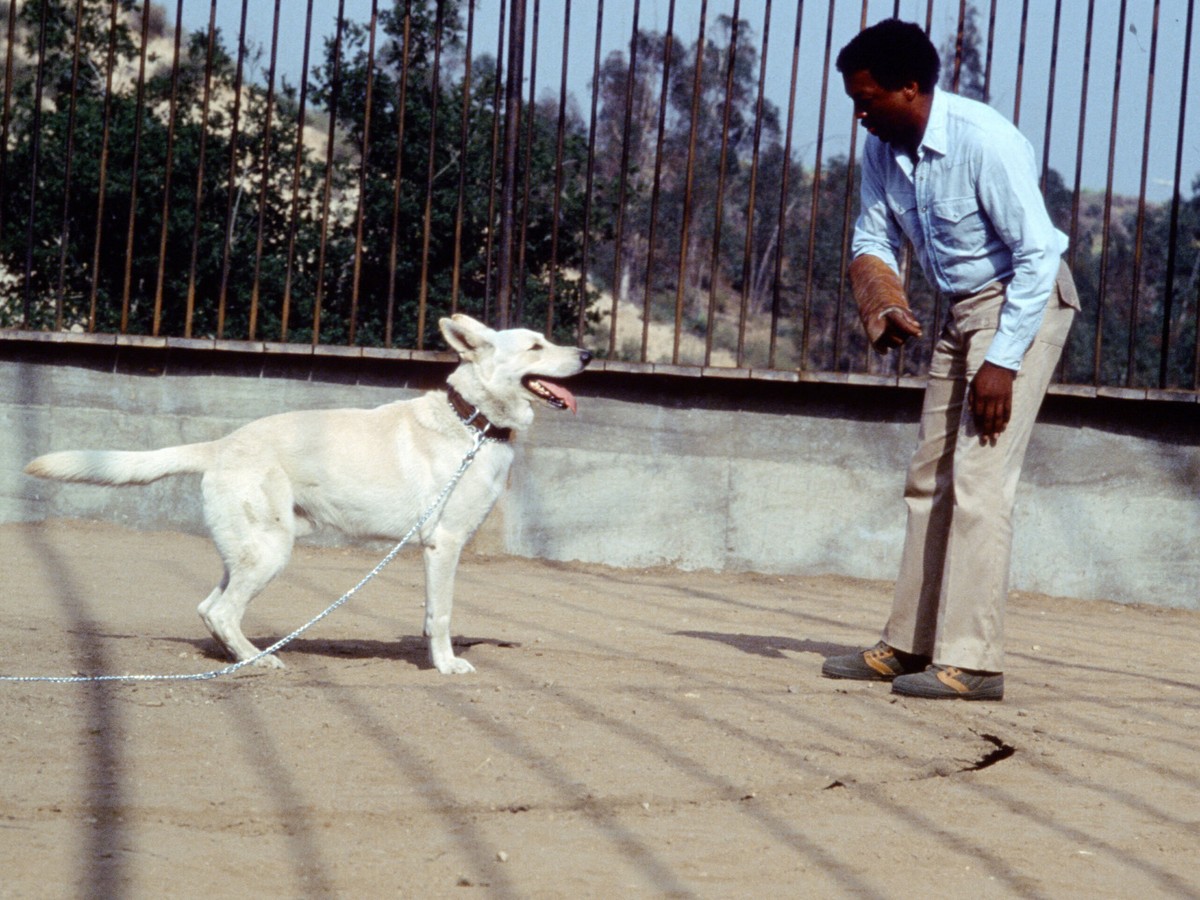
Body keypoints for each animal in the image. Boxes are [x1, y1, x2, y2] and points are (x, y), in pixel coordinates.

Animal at [25, 316, 592, 676]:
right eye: (536, 346)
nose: (588, 354)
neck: (471, 420)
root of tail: (221, 444)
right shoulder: (444, 544)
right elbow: (442, 615)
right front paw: (446, 665)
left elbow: (430, 614)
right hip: (271, 552)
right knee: (223, 612)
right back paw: (261, 661)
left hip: (248, 552)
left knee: (209, 608)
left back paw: (237, 658)